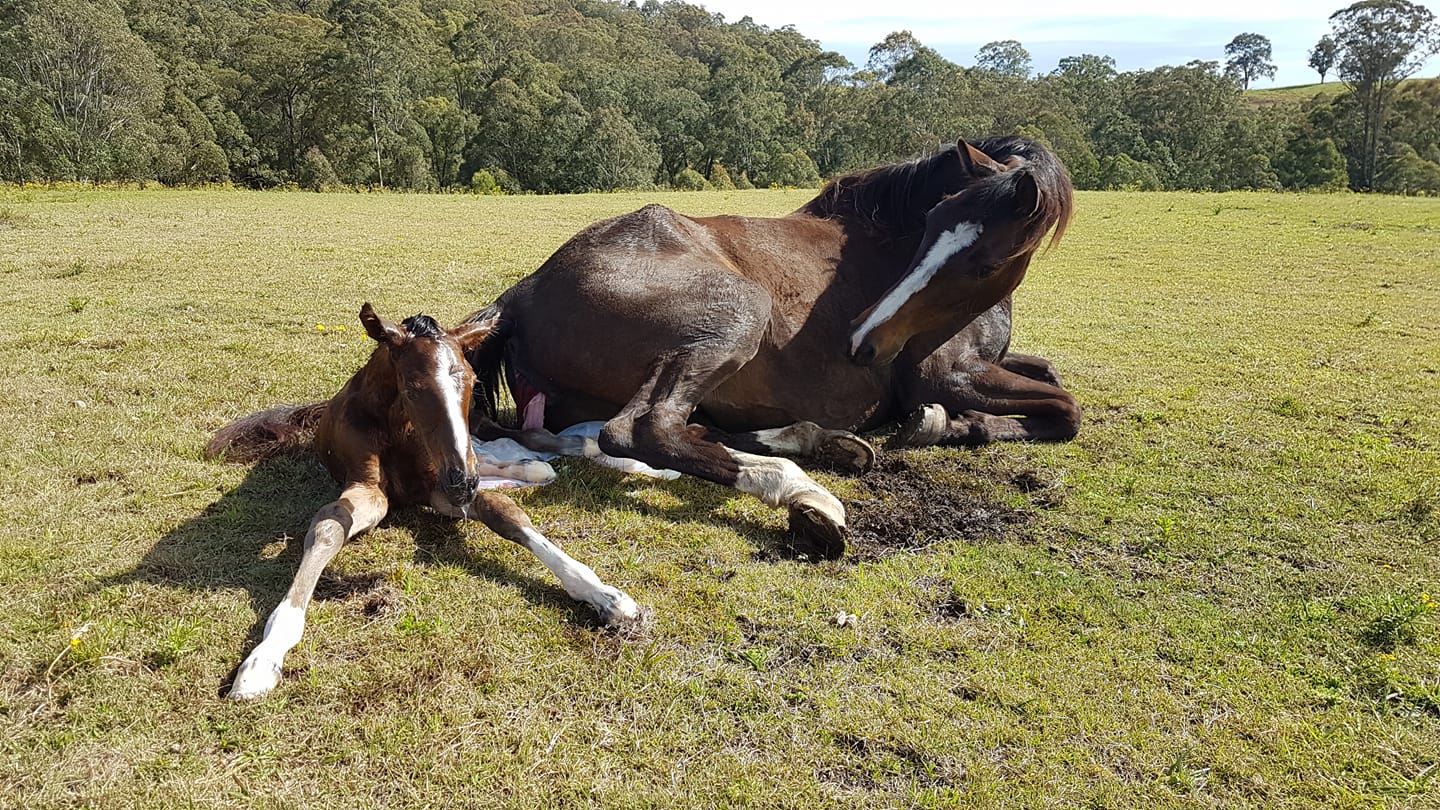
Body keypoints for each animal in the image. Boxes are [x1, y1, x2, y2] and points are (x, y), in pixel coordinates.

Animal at [210, 305, 639, 697]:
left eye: (472, 379)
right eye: (414, 387)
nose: (464, 482)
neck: (395, 426)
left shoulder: (439, 484)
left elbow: (506, 513)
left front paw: (605, 595)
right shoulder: (376, 491)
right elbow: (330, 525)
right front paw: (264, 658)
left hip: (475, 436)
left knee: (513, 440)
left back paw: (570, 455)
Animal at [466, 135, 1077, 559]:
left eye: (985, 262)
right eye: (929, 226)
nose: (864, 340)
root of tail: (521, 292)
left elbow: (1050, 373)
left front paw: (953, 423)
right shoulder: (945, 375)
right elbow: (1067, 410)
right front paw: (946, 423)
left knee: (630, 432)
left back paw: (824, 445)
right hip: (740, 315)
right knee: (642, 430)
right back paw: (805, 495)